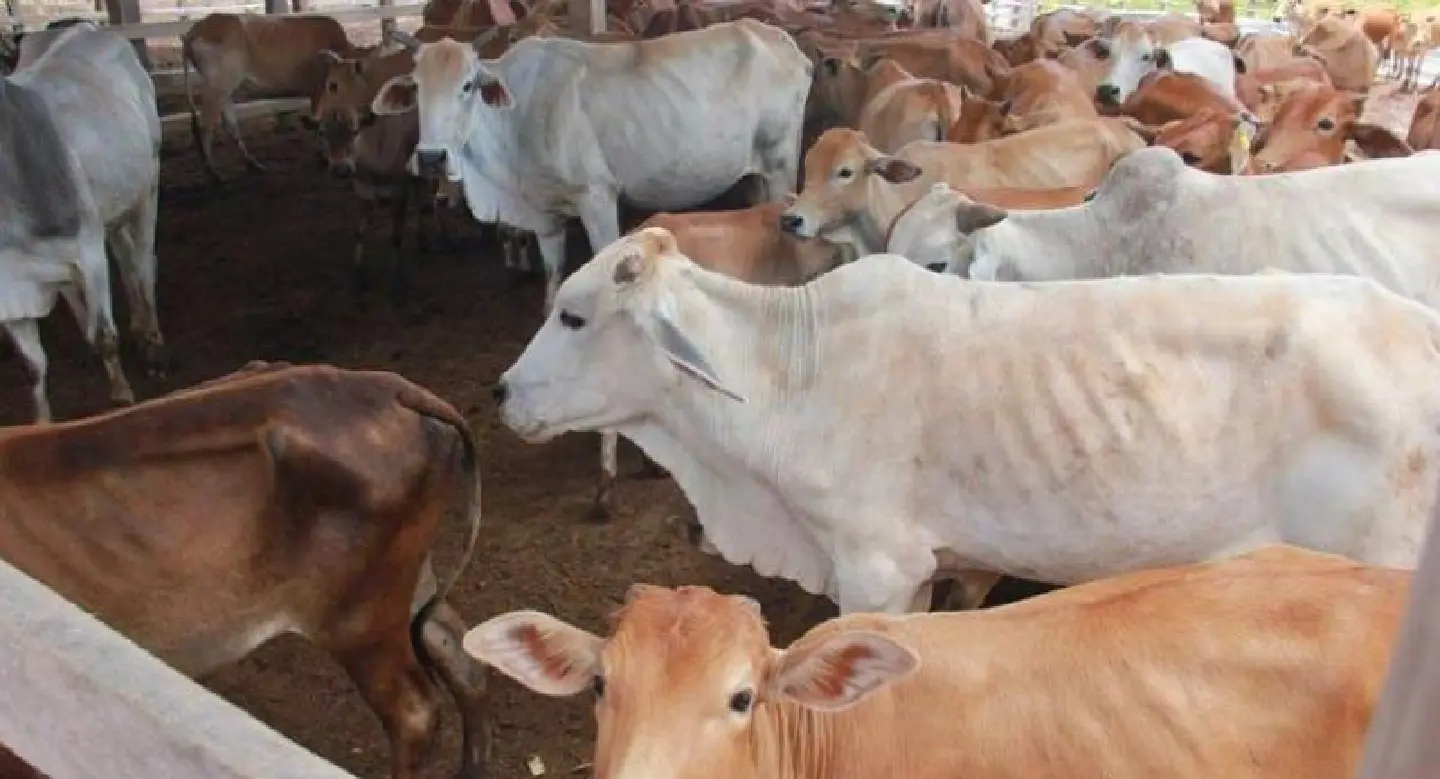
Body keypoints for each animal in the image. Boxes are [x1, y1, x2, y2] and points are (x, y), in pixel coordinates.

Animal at [0, 22, 164, 422]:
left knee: (143, 264)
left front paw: (121, 394)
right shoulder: (8, 287)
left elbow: (105, 335)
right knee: (122, 262)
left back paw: (152, 341)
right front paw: (41, 422)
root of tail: (86, 26)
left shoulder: (88, 253)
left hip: (147, 185)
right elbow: (32, 366)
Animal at [181, 13, 363, 180]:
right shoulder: (317, 89)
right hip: (216, 87)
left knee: (230, 125)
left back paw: (253, 164)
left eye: (353, 134)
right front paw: (323, 155)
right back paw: (213, 171)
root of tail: (196, 28)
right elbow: (320, 119)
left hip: (224, 91)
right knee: (206, 125)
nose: (341, 170)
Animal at [372, 20, 810, 521]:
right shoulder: (548, 222)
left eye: (467, 85)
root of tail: (779, 38)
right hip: (754, 179)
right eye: (417, 86)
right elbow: (550, 294)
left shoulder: (597, 199)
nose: (431, 157)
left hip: (779, 166)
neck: (519, 122)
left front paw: (615, 470)